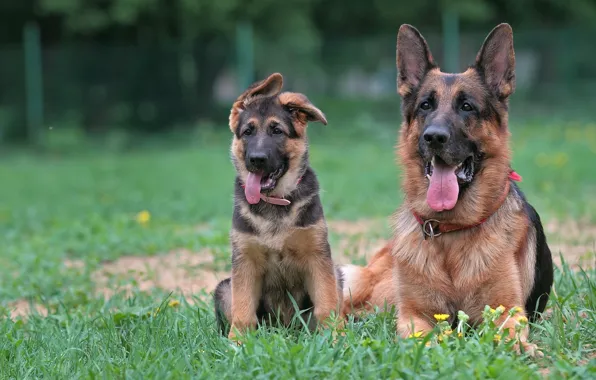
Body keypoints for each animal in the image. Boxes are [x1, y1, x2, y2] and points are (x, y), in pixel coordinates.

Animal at [214, 72, 344, 340]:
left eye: (277, 131)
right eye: (247, 132)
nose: (256, 160)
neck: (275, 201)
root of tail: (285, 329)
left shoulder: (318, 258)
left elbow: (327, 305)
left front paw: (334, 338)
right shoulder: (245, 261)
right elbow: (243, 310)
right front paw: (238, 342)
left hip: (336, 275)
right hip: (224, 288)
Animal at [340, 24, 556, 356]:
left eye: (467, 107)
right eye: (425, 105)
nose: (434, 137)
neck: (451, 231)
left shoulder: (508, 310)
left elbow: (510, 332)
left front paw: (522, 348)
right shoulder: (413, 314)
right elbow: (422, 337)